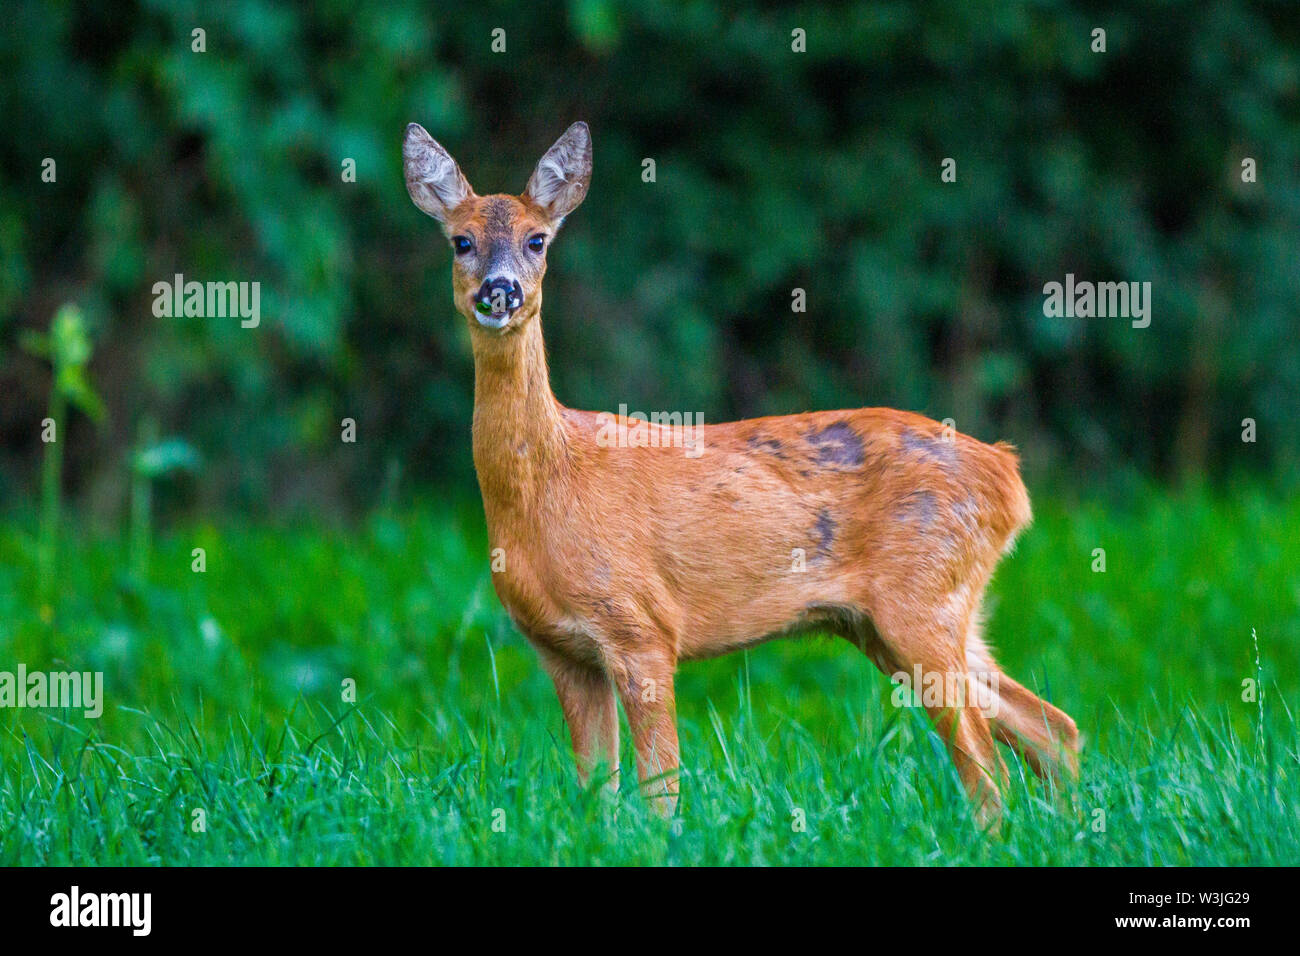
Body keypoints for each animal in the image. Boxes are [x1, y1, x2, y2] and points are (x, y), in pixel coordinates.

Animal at [400, 117, 1081, 822]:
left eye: (537, 239)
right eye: (461, 241)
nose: (499, 291)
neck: (550, 486)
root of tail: (1008, 476)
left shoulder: (641, 627)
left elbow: (660, 789)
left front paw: (661, 835)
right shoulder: (561, 649)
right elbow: (598, 793)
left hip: (921, 597)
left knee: (990, 768)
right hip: (900, 619)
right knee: (1053, 728)